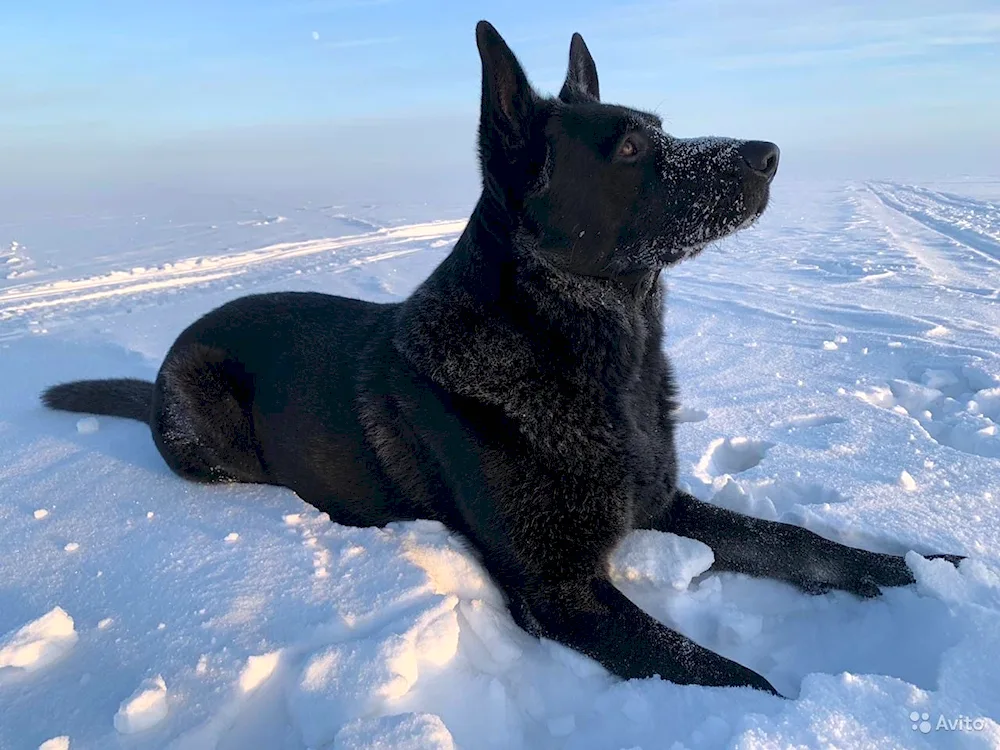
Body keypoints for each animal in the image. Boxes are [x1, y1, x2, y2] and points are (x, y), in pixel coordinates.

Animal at [41, 23, 960, 696]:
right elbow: (735, 678)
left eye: (661, 129)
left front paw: (927, 567)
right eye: (630, 149)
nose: (769, 155)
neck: (605, 360)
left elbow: (801, 543)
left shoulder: (664, 504)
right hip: (217, 426)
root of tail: (165, 361)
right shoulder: (561, 591)